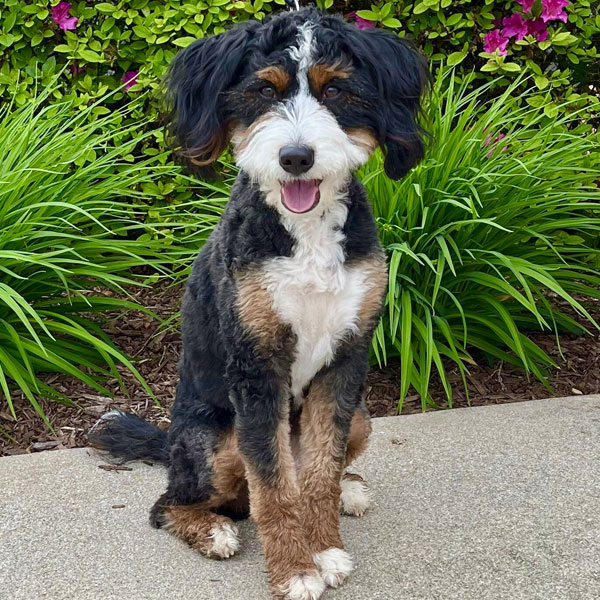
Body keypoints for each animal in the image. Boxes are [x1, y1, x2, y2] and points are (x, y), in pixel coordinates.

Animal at [89, 7, 426, 596]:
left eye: (335, 90)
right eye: (264, 91)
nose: (295, 157)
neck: (305, 233)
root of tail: (169, 442)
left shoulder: (346, 357)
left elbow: (318, 471)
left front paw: (325, 547)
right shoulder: (257, 364)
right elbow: (273, 485)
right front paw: (295, 570)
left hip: (362, 416)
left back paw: (350, 489)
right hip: (216, 438)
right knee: (173, 504)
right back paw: (212, 530)